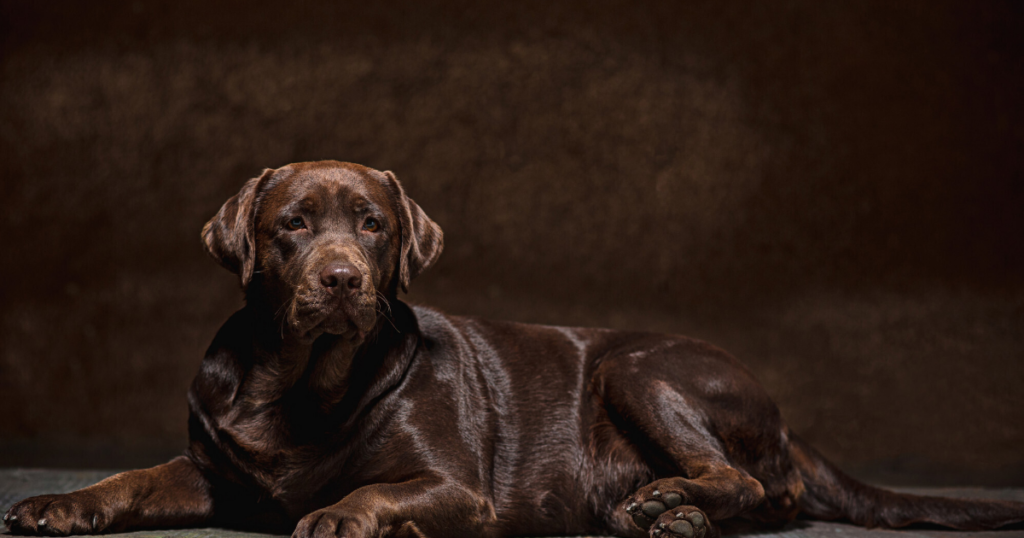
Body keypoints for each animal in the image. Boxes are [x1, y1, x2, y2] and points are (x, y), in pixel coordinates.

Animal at [6, 160, 1024, 536]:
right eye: (292, 224)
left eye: (372, 225)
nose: (341, 279)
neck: (296, 383)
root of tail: (783, 414)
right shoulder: (213, 471)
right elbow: (134, 478)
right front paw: (59, 502)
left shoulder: (455, 485)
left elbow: (369, 489)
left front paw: (344, 516)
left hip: (637, 369)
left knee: (751, 484)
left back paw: (670, 506)